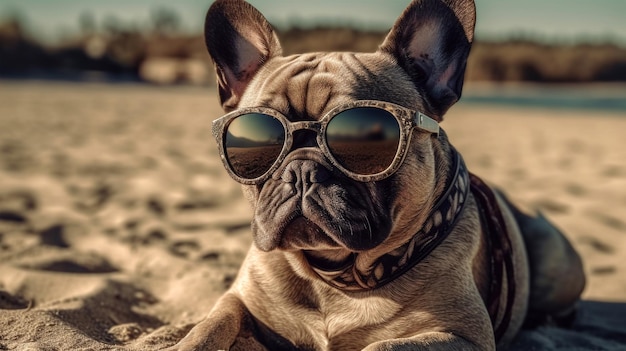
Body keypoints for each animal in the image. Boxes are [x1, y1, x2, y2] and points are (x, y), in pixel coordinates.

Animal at [163, 1, 584, 350]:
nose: (300, 170)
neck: (335, 275)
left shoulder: (464, 336)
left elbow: (382, 346)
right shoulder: (236, 299)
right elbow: (209, 326)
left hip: (557, 264)